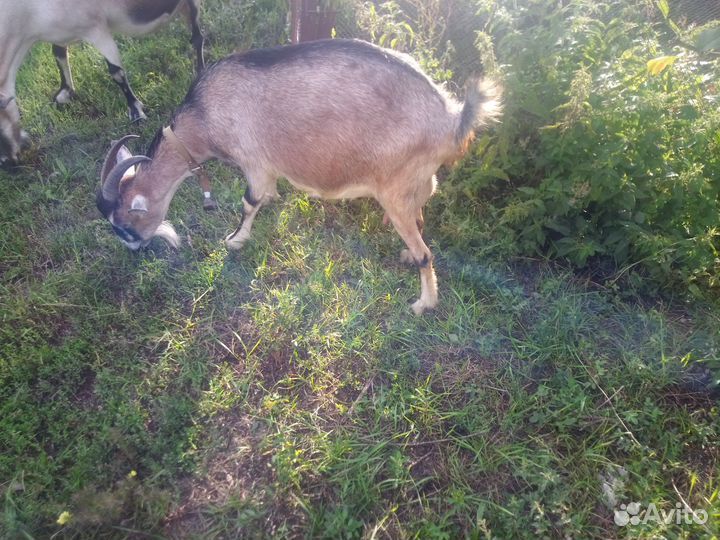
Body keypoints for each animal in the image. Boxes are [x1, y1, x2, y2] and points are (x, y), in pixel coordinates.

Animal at [0, 0, 205, 166]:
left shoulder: (96, 28)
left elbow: (116, 72)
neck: (28, 13)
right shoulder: (59, 33)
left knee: (197, 37)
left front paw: (136, 111)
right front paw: (64, 93)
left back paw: (201, 73)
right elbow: (58, 54)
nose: (7, 163)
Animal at [96, 39, 501, 315]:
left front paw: (235, 241)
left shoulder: (254, 162)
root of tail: (450, 118)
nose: (134, 250)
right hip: (419, 181)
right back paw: (406, 254)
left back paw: (423, 303)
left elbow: (249, 202)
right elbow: (267, 198)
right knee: (421, 213)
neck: (203, 118)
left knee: (425, 252)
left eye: (123, 225)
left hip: (394, 188)